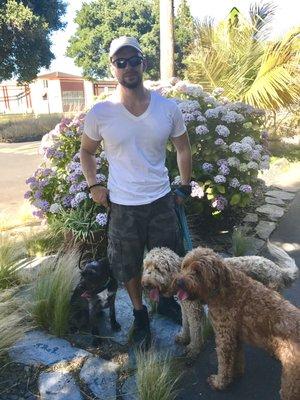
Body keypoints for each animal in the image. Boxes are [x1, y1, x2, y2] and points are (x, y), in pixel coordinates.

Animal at [142, 242, 298, 358]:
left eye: (157, 268)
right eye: (146, 266)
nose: (145, 284)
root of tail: (278, 270)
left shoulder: (194, 310)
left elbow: (195, 332)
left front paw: (193, 349)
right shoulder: (185, 309)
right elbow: (185, 324)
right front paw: (183, 337)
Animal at [175, 247, 300, 400]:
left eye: (198, 271)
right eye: (184, 266)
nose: (179, 282)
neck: (223, 289)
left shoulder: (224, 338)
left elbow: (224, 364)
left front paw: (219, 383)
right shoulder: (234, 337)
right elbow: (236, 359)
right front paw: (235, 374)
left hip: (290, 385)